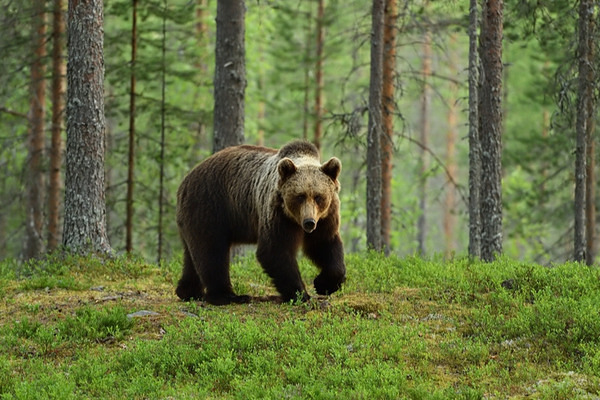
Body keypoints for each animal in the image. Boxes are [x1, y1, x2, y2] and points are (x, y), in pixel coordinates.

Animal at [175, 139, 346, 304]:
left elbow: (324, 244)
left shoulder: (325, 217)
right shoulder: (277, 213)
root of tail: (184, 182)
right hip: (210, 207)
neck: (295, 220)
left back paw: (188, 292)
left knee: (193, 255)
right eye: (300, 196)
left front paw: (324, 284)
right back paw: (228, 296)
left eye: (318, 196)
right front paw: (300, 294)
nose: (309, 222)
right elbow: (274, 250)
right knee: (212, 251)